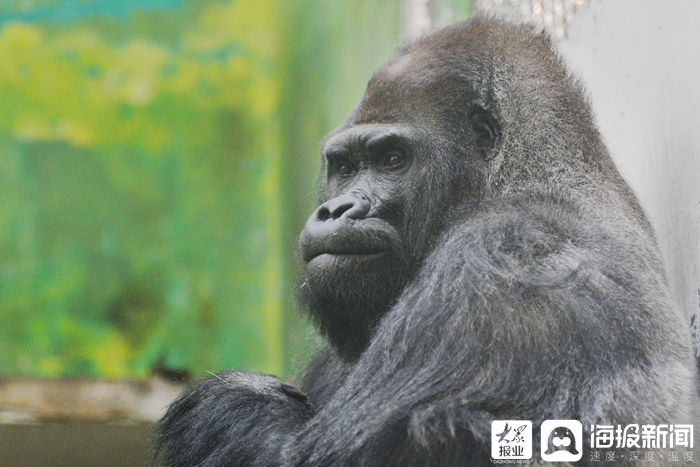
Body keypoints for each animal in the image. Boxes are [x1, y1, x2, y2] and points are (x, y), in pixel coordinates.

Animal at [154, 16, 700, 466]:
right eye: (344, 166)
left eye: (393, 160)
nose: (336, 210)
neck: (526, 173)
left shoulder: (501, 260)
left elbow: (303, 456)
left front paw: (227, 397)